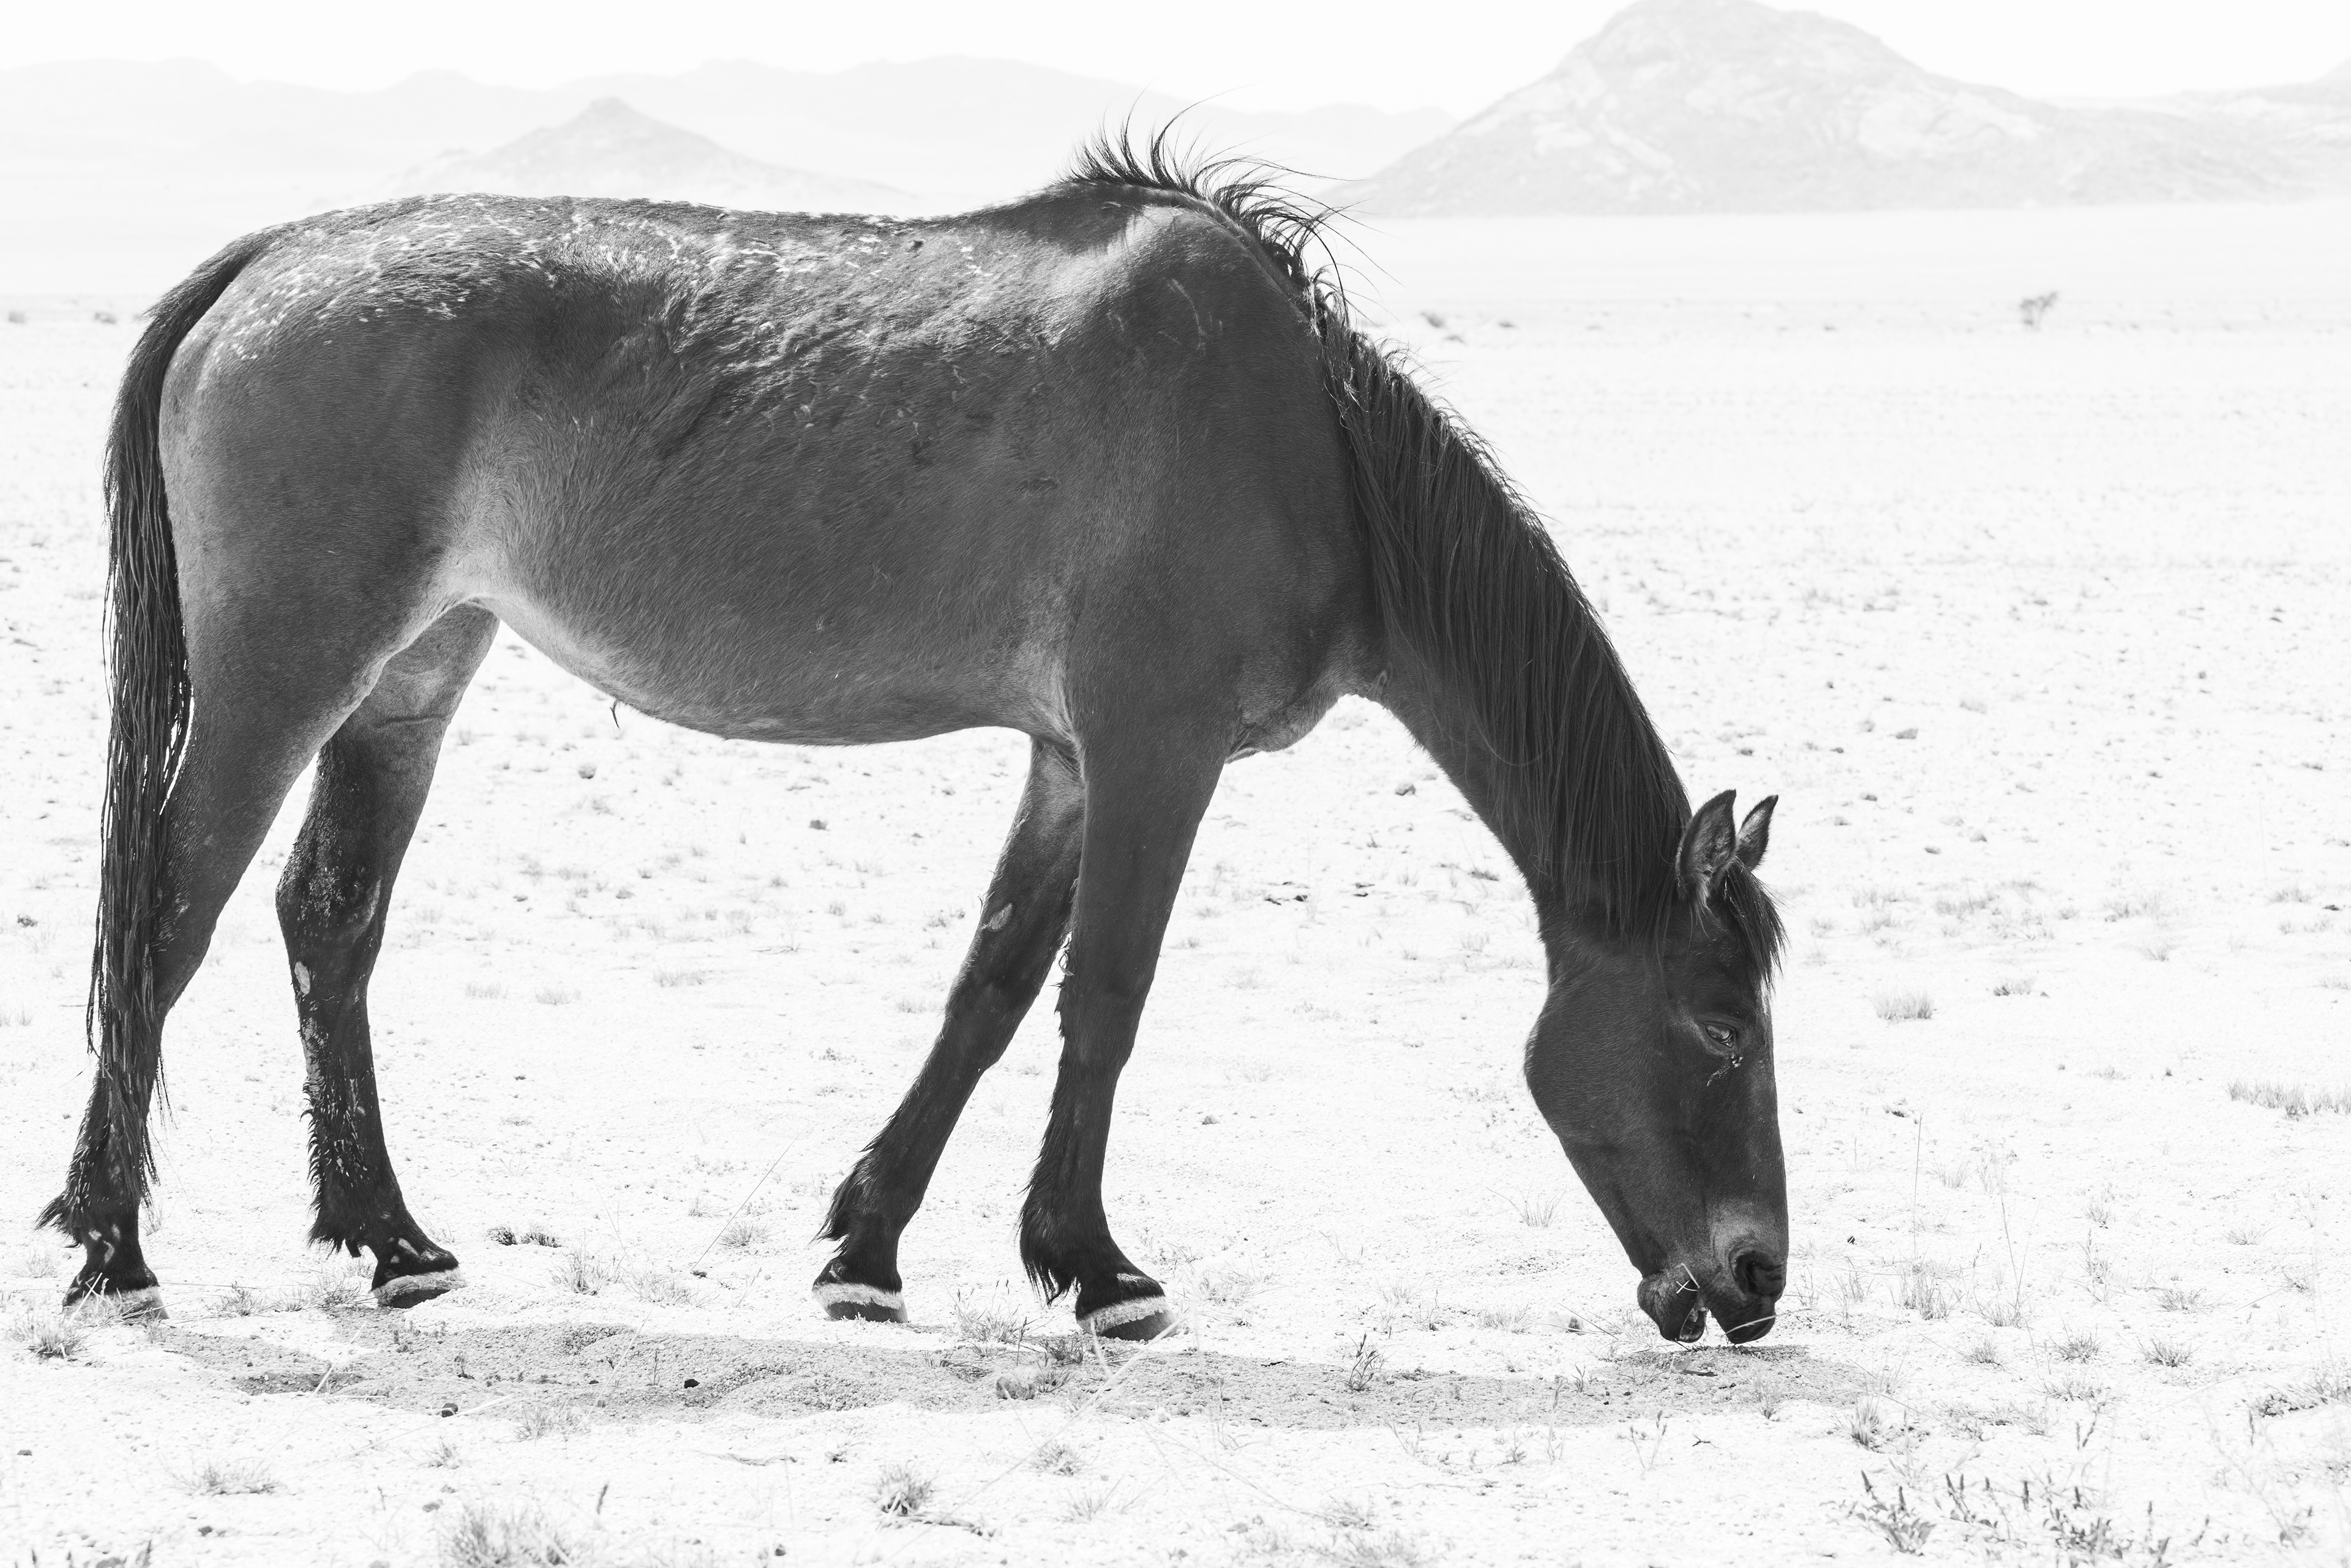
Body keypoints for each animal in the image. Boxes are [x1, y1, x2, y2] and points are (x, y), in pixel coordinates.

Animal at [42, 135, 1787, 1344]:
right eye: (1719, 1027)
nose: (1756, 1273)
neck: (1312, 446)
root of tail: (265, 262)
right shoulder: (1154, 750)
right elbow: (1106, 997)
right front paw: (1098, 1268)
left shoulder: (1073, 761)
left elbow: (995, 988)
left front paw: (869, 1249)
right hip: (284, 673)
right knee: (168, 914)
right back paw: (114, 1246)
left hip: (410, 674)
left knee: (325, 920)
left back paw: (392, 1241)